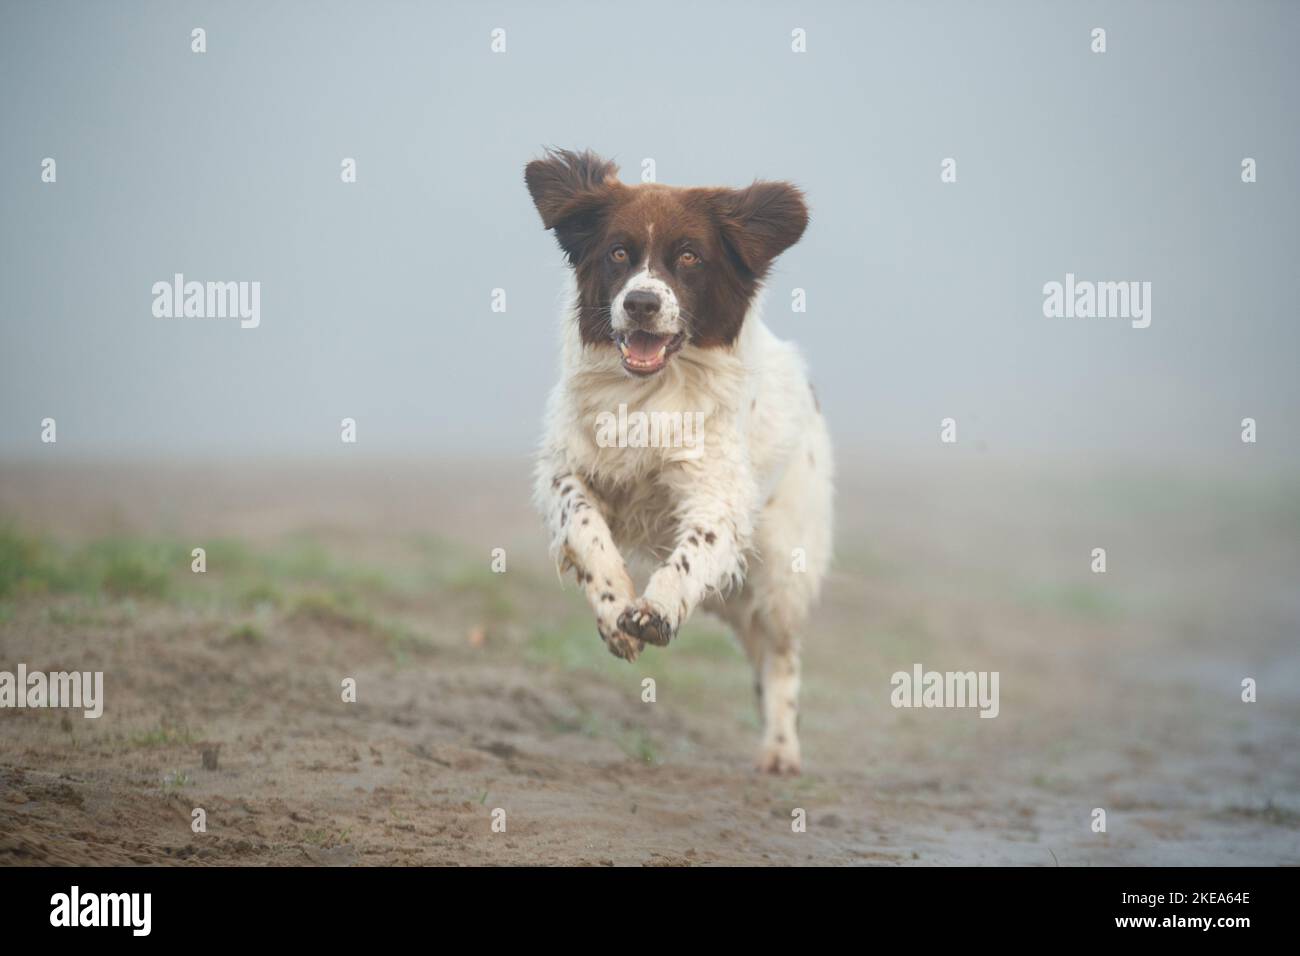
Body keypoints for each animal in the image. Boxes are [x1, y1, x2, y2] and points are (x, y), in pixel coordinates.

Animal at [525, 151, 832, 780]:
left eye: (689, 256)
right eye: (618, 252)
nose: (641, 303)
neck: (650, 394)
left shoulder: (718, 494)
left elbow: (696, 550)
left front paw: (659, 609)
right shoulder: (566, 469)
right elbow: (585, 529)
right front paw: (615, 610)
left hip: (781, 572)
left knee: (780, 657)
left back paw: (781, 750)